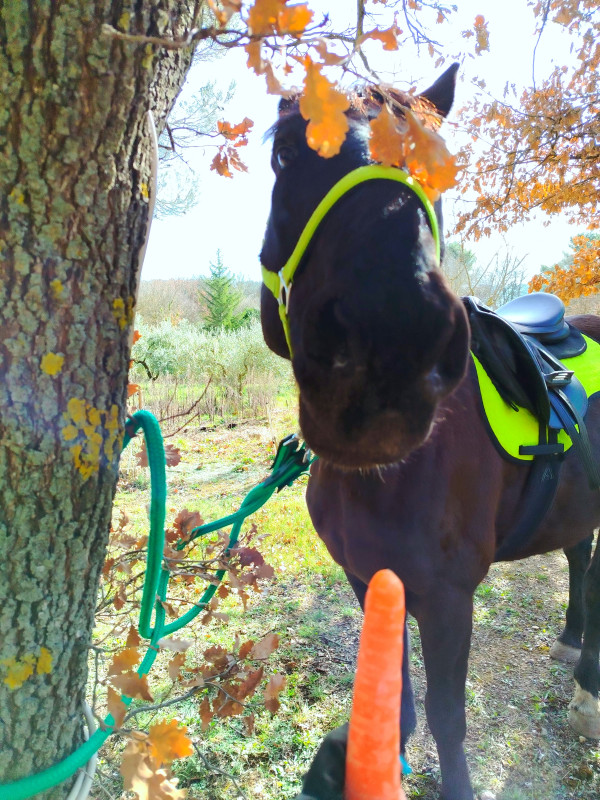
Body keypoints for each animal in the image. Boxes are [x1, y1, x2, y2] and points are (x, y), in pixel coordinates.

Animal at [259, 64, 600, 800]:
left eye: (438, 168)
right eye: (285, 153)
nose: (390, 342)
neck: (384, 476)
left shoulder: (448, 600)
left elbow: (446, 718)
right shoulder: (366, 576)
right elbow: (398, 704)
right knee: (582, 554)